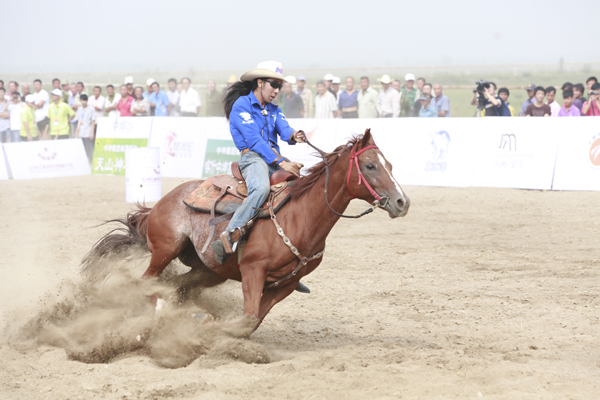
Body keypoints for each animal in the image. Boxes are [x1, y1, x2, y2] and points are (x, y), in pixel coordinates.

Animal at [82, 129, 410, 338]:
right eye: (370, 165)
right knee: (146, 284)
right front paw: (210, 327)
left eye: (390, 165)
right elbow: (248, 317)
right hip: (165, 250)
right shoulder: (254, 270)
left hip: (208, 270)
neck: (301, 217)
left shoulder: (287, 284)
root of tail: (164, 201)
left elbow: (251, 321)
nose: (402, 202)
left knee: (174, 286)